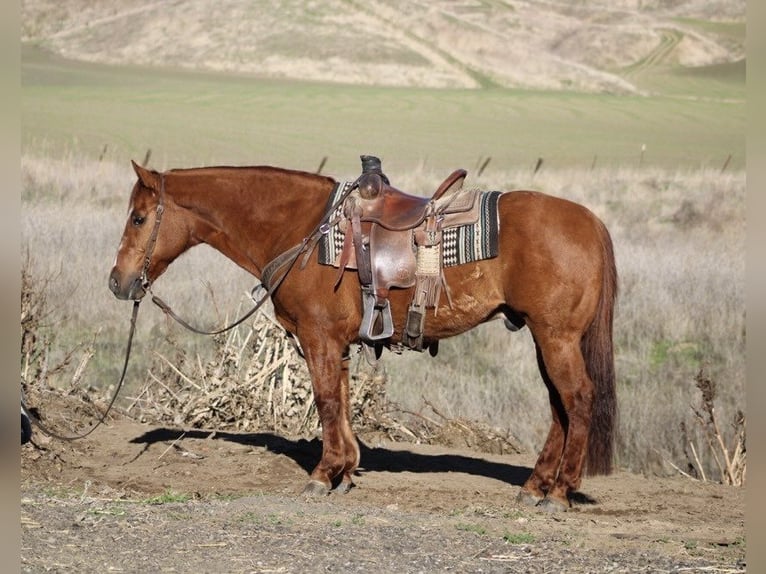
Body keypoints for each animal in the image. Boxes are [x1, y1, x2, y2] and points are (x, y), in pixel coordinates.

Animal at [111, 161, 620, 512]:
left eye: (138, 218)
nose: (118, 282)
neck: (302, 228)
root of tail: (592, 223)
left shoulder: (317, 338)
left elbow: (325, 400)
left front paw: (323, 474)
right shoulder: (334, 343)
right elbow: (341, 397)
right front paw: (346, 470)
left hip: (556, 337)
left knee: (576, 399)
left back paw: (559, 492)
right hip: (545, 337)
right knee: (558, 406)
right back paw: (535, 486)